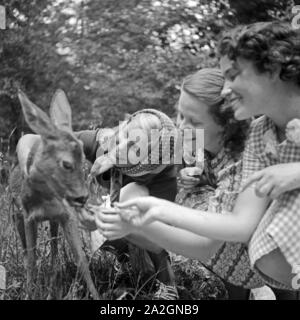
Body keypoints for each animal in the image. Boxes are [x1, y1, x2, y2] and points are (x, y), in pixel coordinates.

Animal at [9, 89, 99, 298]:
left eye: (84, 157)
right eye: (66, 164)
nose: (83, 197)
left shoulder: (67, 215)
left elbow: (81, 260)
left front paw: (95, 294)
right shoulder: (28, 215)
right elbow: (31, 260)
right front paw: (30, 293)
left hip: (54, 219)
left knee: (55, 246)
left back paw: (54, 279)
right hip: (16, 214)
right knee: (25, 250)